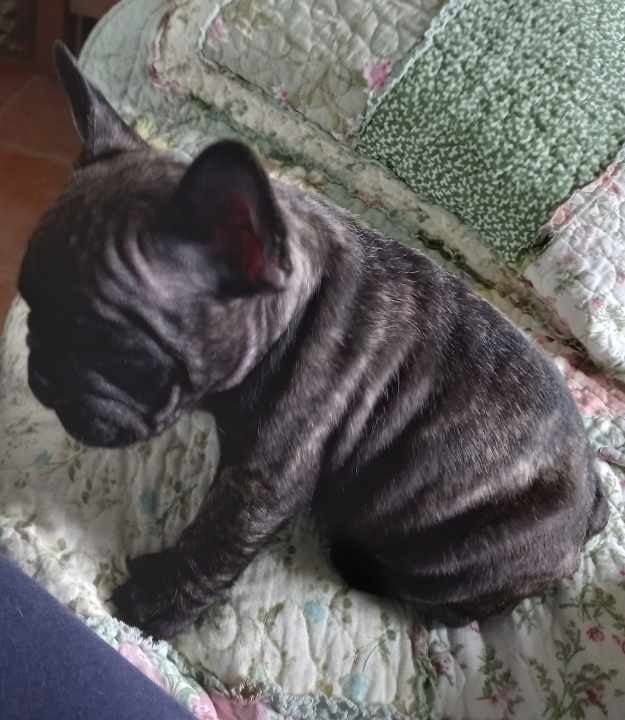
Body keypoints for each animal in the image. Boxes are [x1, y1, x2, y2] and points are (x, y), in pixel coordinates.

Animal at [17, 42, 608, 638]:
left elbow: (213, 545)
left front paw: (157, 606)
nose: (39, 370)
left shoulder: (261, 482)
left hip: (464, 554)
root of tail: (588, 510)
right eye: (28, 301)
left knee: (450, 604)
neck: (292, 310)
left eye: (117, 352)